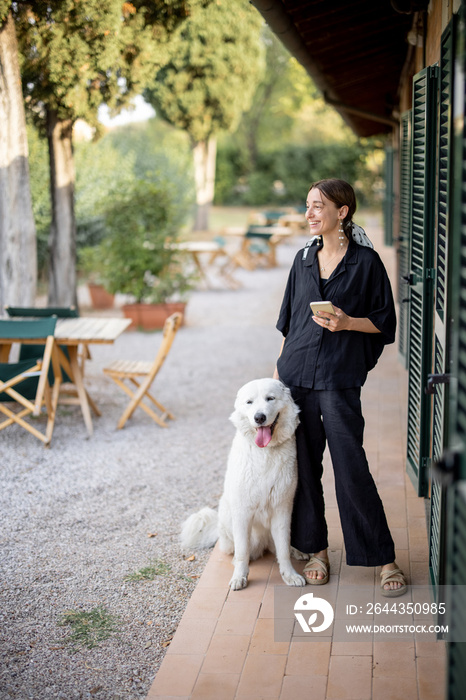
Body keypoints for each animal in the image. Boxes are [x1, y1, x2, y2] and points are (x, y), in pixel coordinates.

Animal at [179, 378, 306, 592]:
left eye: (270, 398)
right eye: (249, 402)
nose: (259, 417)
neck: (264, 452)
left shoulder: (282, 510)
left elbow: (283, 550)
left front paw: (289, 575)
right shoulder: (242, 513)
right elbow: (242, 553)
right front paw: (240, 577)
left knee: (281, 546)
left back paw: (298, 551)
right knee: (239, 550)